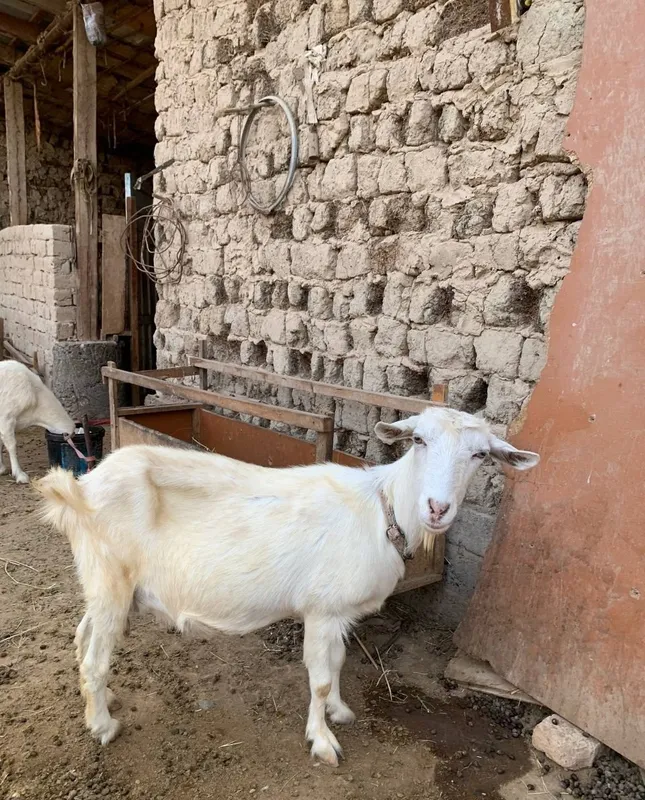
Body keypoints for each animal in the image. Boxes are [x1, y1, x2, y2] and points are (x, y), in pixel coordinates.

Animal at [36, 406, 539, 765]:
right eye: (419, 440)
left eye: (480, 455)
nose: (438, 508)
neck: (382, 510)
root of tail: (80, 489)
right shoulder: (321, 608)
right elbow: (319, 677)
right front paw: (323, 741)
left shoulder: (339, 613)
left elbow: (337, 663)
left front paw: (339, 711)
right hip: (110, 578)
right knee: (95, 659)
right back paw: (102, 725)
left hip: (105, 583)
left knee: (82, 634)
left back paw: (101, 701)